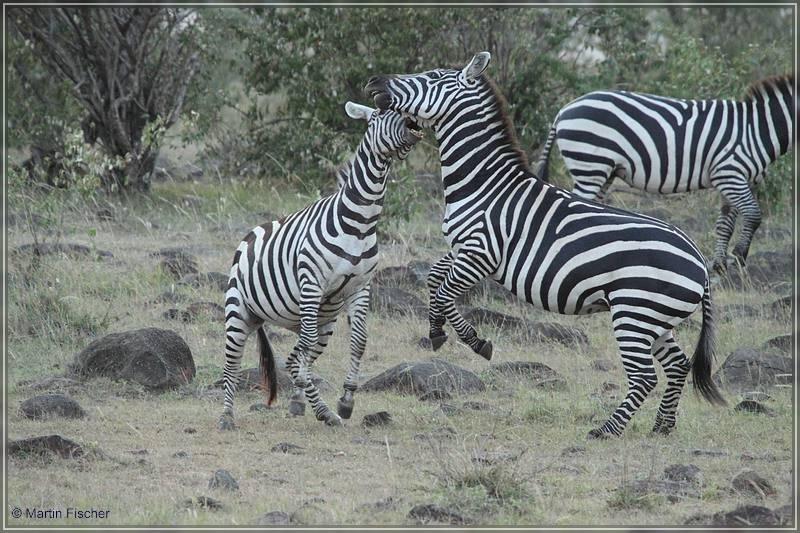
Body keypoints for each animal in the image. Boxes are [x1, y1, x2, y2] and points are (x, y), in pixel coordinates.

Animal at [216, 102, 422, 430]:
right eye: (378, 116)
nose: (412, 121)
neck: (360, 223)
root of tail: (252, 232)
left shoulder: (360, 287)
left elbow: (359, 341)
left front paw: (345, 400)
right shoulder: (311, 282)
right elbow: (305, 352)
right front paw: (323, 403)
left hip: (323, 319)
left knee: (299, 354)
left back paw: (306, 404)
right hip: (239, 310)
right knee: (233, 364)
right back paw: (227, 416)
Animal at [366, 52, 728, 438]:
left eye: (433, 76)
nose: (374, 81)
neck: (484, 184)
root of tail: (700, 262)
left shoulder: (482, 252)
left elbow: (447, 292)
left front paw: (478, 343)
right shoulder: (463, 248)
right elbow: (435, 278)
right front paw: (435, 332)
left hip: (634, 313)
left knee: (645, 376)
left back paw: (607, 430)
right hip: (655, 319)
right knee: (677, 365)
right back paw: (662, 426)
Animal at [532, 74, 792, 272]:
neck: (758, 129)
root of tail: (564, 110)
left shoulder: (734, 179)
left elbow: (725, 223)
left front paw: (719, 265)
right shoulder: (730, 172)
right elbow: (754, 215)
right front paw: (738, 257)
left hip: (604, 170)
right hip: (590, 164)